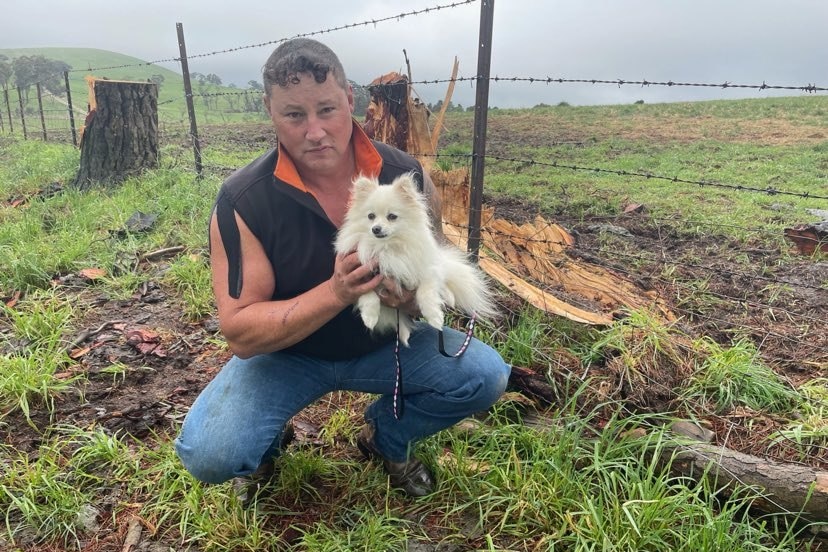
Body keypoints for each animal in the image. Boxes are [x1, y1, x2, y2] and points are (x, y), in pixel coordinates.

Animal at [334, 172, 494, 344]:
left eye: (392, 216)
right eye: (371, 216)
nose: (376, 229)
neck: (387, 247)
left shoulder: (425, 269)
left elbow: (426, 292)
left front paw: (435, 317)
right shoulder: (358, 272)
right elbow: (367, 294)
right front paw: (370, 317)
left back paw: (448, 297)